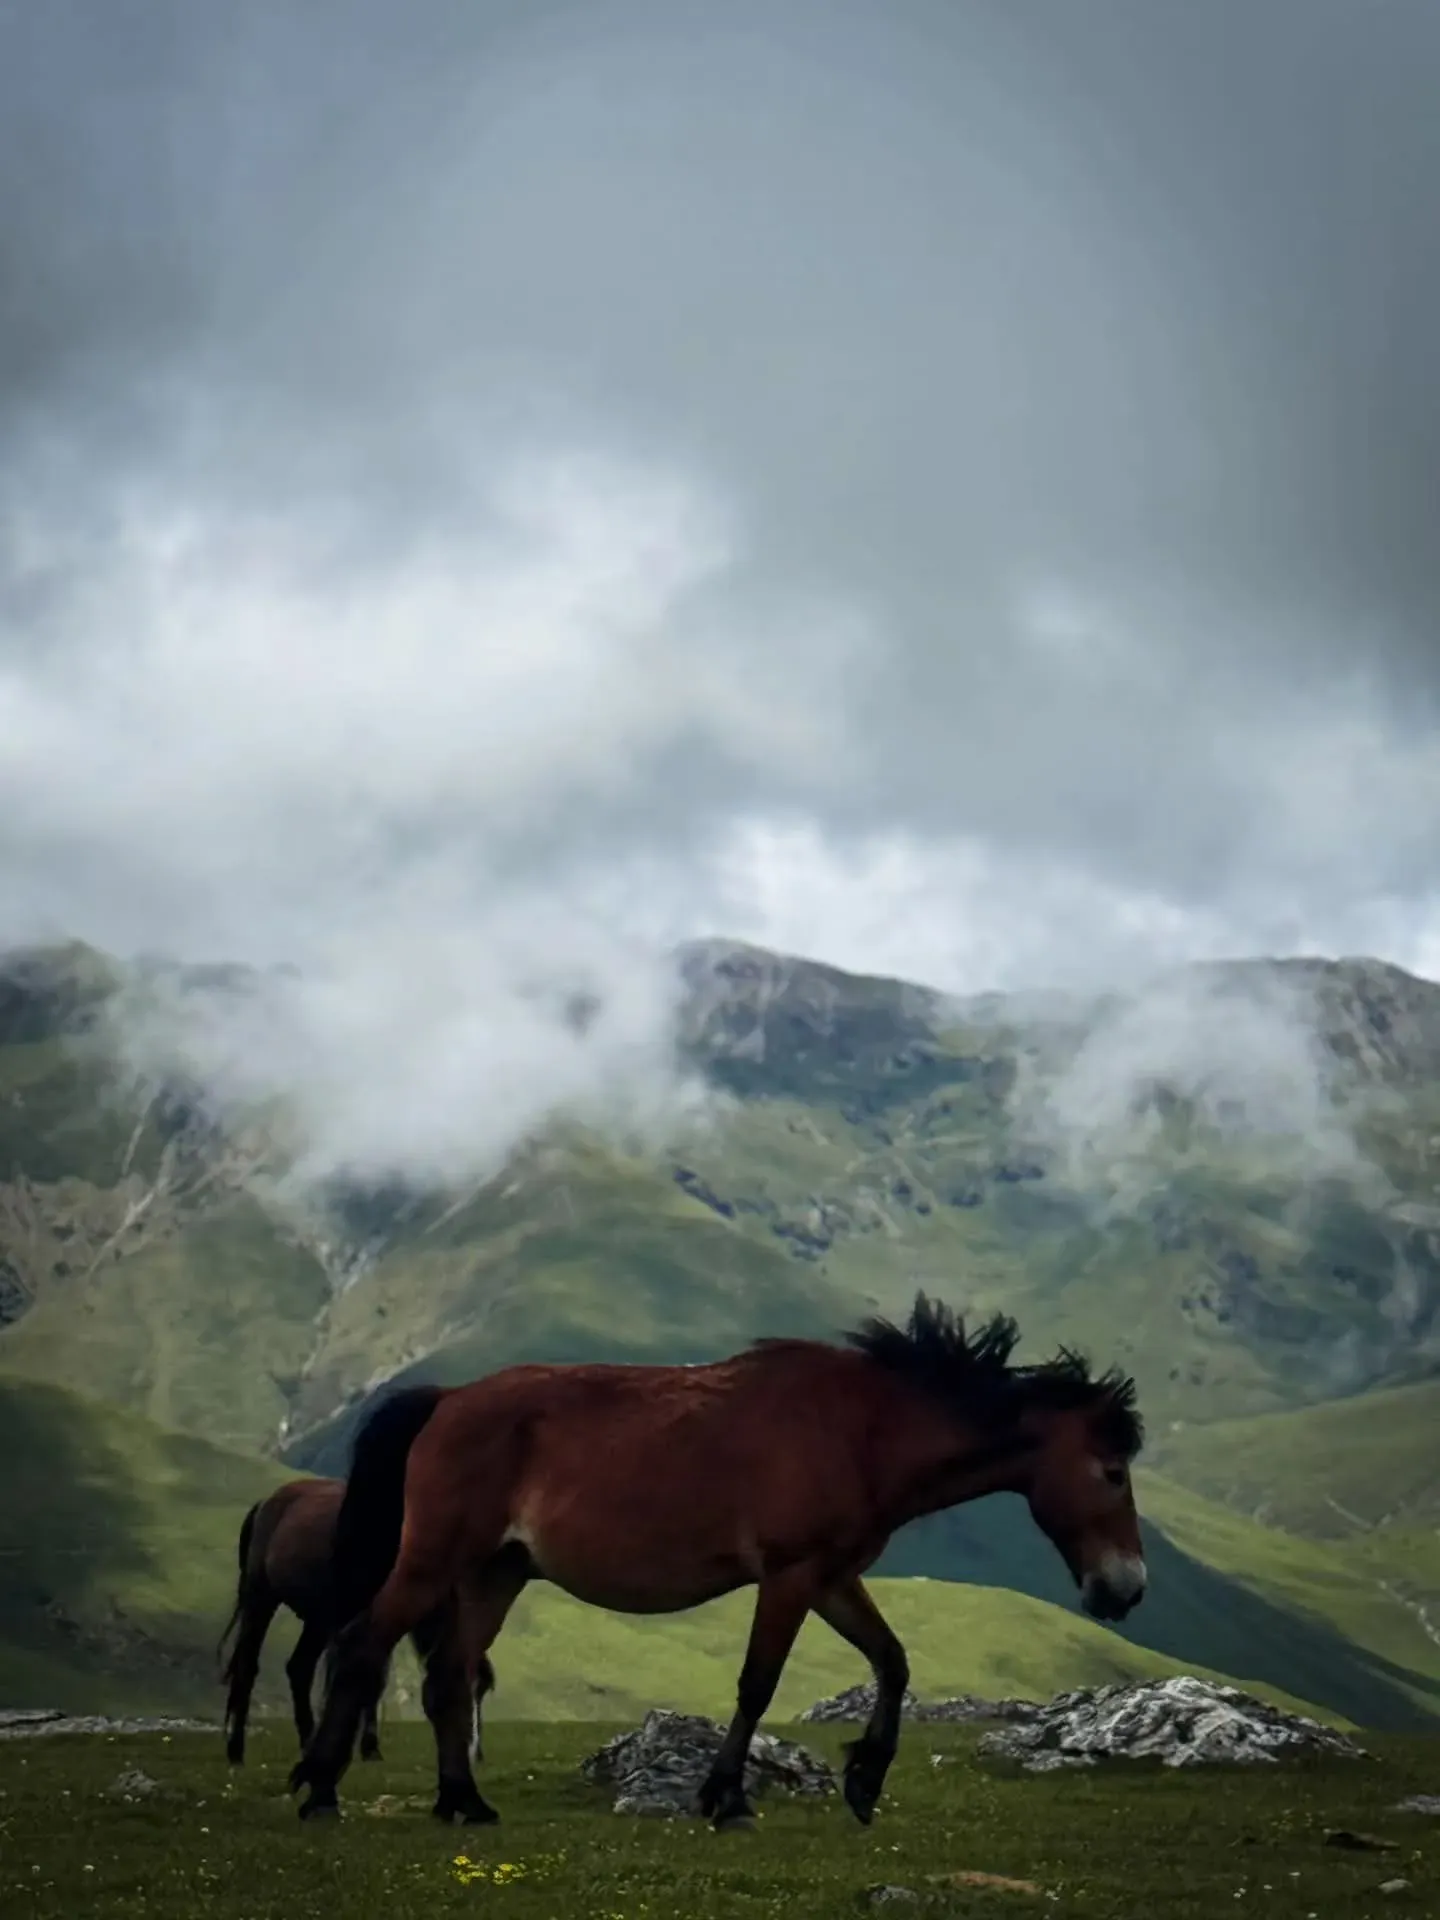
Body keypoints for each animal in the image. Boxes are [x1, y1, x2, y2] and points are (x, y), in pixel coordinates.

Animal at [219, 1476, 493, 1775]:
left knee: (299, 1668)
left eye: (482, 1693)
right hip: (261, 1599)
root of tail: (266, 1503)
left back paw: (309, 1743)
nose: (474, 1752)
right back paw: (235, 1751)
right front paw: (368, 1747)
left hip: (318, 1618)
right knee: (247, 1668)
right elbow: (369, 1678)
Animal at [289, 1294, 1146, 1831]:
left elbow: (892, 1661)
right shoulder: (791, 1576)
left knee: (446, 1680)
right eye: (1112, 1471)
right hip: (434, 1562)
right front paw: (727, 1798)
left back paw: (464, 1803)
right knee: (362, 1646)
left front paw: (865, 1778)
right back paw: (320, 1788)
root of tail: (446, 1400)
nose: (1127, 1589)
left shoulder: (831, 1578)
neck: (863, 1429)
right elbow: (758, 1682)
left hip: (492, 1575)